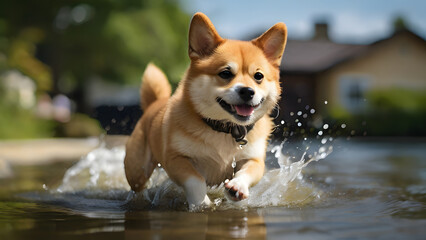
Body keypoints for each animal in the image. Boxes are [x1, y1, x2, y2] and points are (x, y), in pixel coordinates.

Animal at [125, 12, 288, 207]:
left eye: (258, 76)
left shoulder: (254, 160)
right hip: (136, 171)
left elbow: (248, 172)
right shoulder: (176, 159)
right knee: (137, 185)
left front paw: (238, 186)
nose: (248, 91)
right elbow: (196, 180)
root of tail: (154, 103)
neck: (224, 129)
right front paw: (202, 202)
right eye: (225, 73)